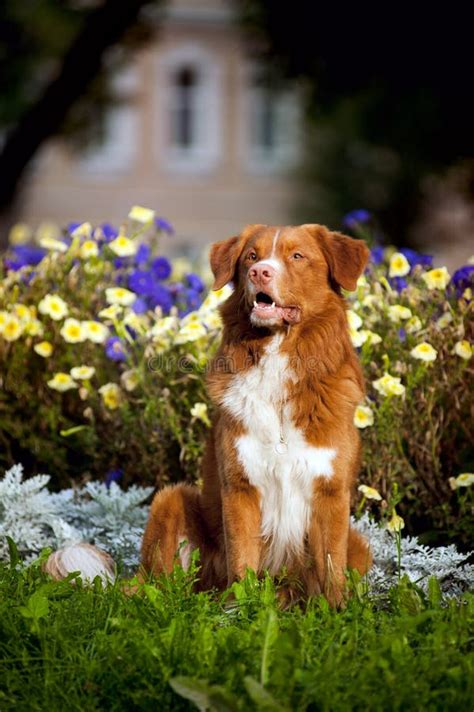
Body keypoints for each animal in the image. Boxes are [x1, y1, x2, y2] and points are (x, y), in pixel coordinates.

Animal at [141, 224, 374, 608]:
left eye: (297, 256)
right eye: (251, 256)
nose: (259, 272)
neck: (279, 352)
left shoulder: (331, 491)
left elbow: (330, 567)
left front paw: (336, 612)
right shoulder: (240, 486)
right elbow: (242, 561)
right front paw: (239, 610)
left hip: (360, 545)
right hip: (169, 499)